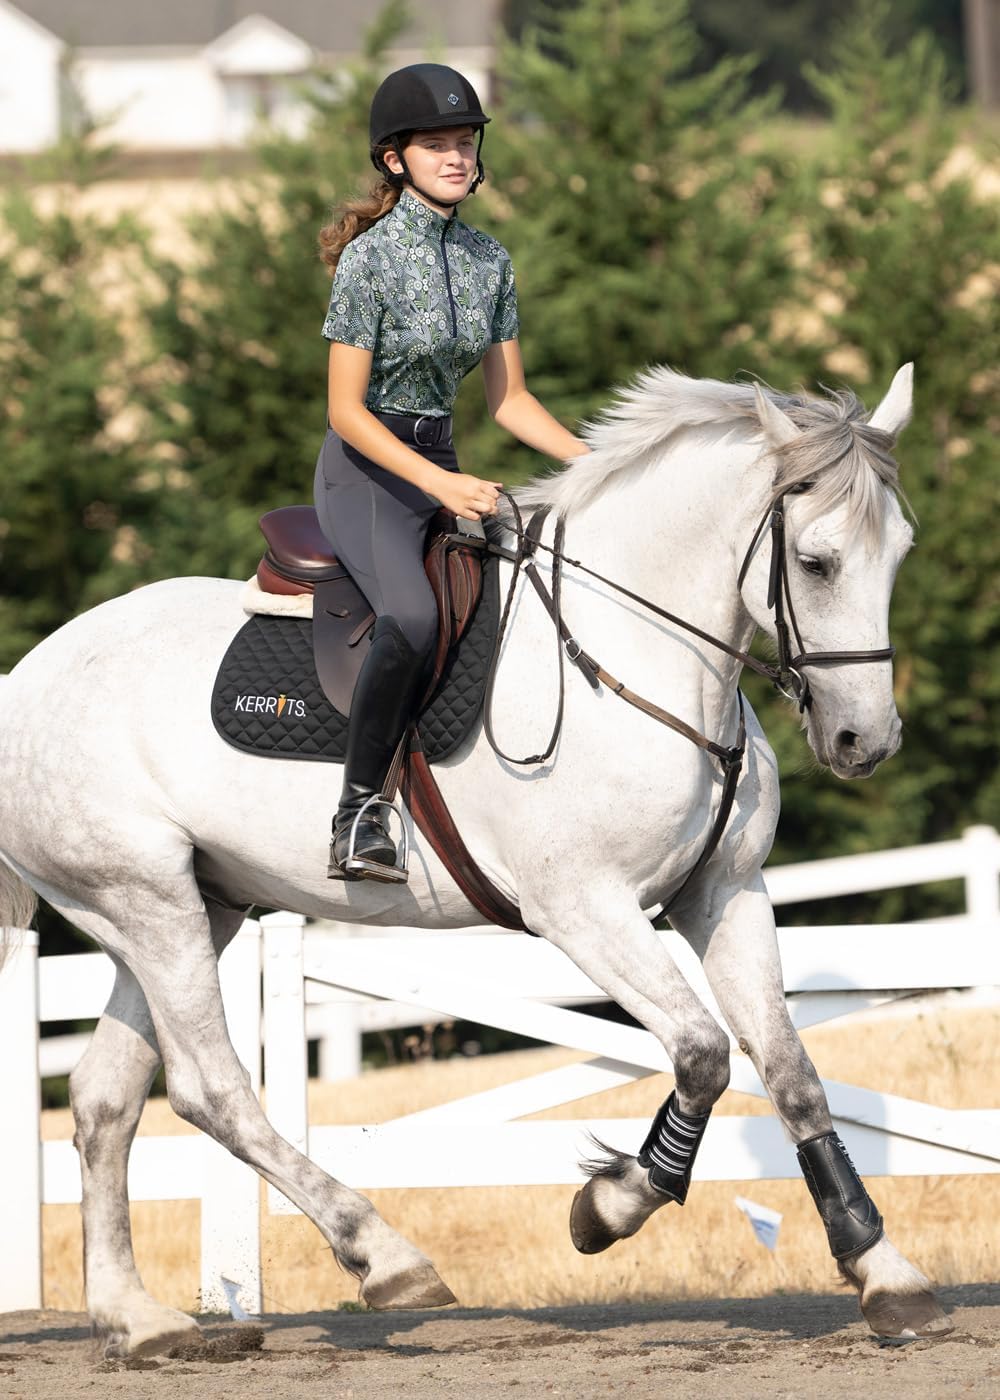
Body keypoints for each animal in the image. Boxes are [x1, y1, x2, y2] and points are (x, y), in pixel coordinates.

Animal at [0, 363, 951, 1356]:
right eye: (815, 561)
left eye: (900, 554)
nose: (865, 742)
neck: (639, 657)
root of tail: (24, 678)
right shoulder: (582, 908)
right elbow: (701, 1054)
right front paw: (609, 1207)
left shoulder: (723, 894)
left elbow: (792, 1074)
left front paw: (884, 1272)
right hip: (149, 904)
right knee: (210, 1089)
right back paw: (384, 1257)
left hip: (188, 907)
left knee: (106, 1100)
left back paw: (139, 1321)